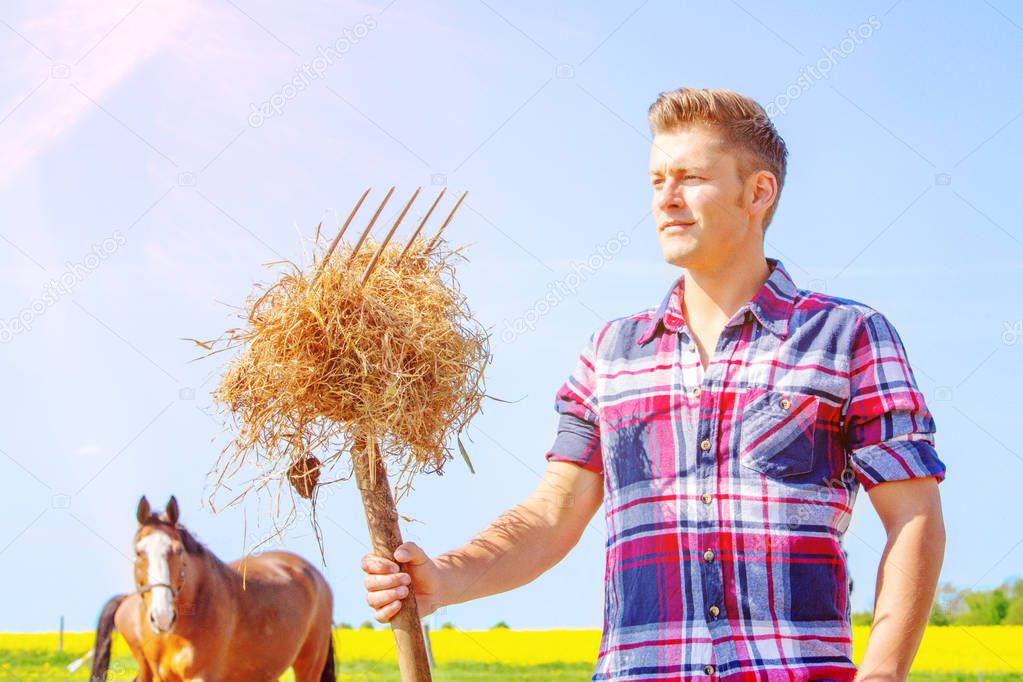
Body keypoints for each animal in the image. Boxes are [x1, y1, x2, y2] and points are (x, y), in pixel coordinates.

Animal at [90, 496, 333, 682]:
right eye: (139, 552)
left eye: (178, 551)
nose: (162, 616)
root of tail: (314, 575)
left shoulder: (201, 676)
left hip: (310, 665)